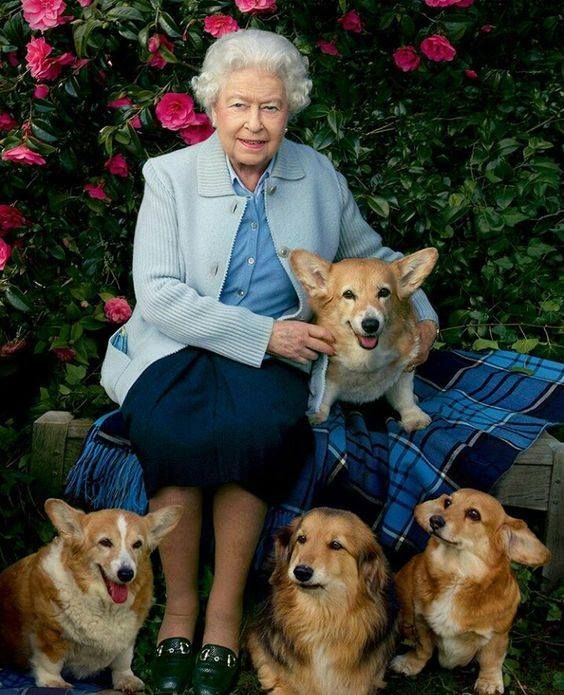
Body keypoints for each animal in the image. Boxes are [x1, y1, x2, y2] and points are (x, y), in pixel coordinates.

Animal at [392, 490, 552, 695]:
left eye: (474, 514)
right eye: (448, 503)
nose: (435, 520)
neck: (457, 575)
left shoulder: (497, 635)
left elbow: (491, 661)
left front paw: (489, 683)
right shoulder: (421, 621)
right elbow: (423, 648)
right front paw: (410, 663)